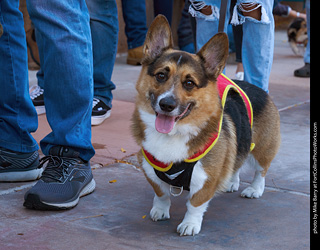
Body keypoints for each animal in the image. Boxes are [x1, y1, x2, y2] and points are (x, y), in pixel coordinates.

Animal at [131, 15, 280, 236]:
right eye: (160, 76)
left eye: (189, 83)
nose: (166, 104)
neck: (174, 134)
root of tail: (257, 88)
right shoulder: (150, 169)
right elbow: (161, 194)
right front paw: (160, 211)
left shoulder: (205, 179)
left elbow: (195, 204)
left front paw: (190, 224)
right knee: (236, 162)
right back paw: (231, 182)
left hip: (263, 149)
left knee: (261, 170)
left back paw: (254, 189)